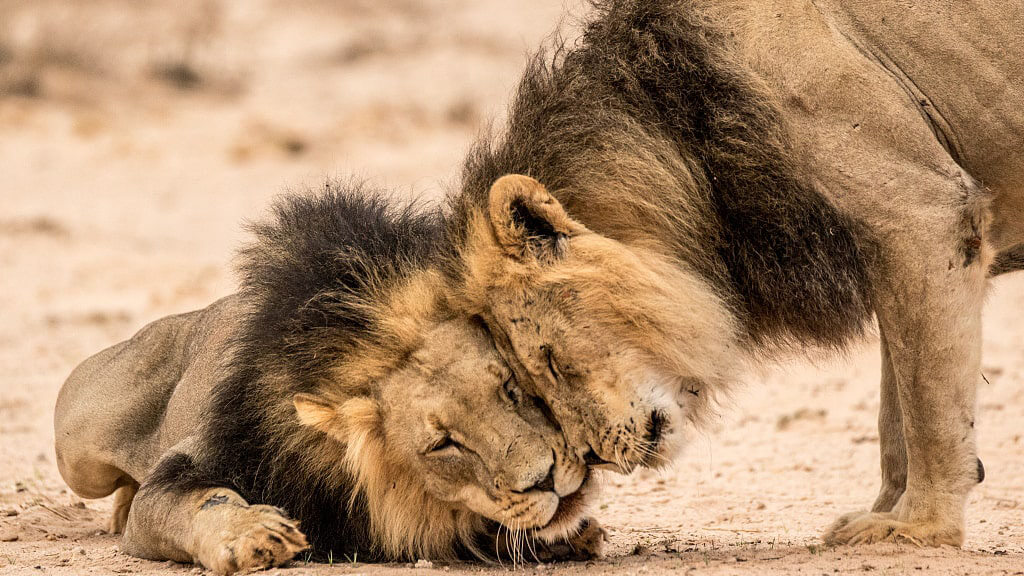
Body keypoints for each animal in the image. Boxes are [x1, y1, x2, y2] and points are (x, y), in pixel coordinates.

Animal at [54, 186, 598, 569]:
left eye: (509, 389)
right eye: (443, 444)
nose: (546, 478)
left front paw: (570, 535)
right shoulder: (195, 465)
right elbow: (199, 501)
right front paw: (251, 534)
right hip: (78, 456)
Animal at [442, 0, 1024, 545]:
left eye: (549, 361)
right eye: (522, 391)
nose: (594, 459)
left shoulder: (921, 215)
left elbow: (927, 407)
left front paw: (920, 527)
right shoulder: (897, 249)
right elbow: (896, 409)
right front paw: (884, 511)